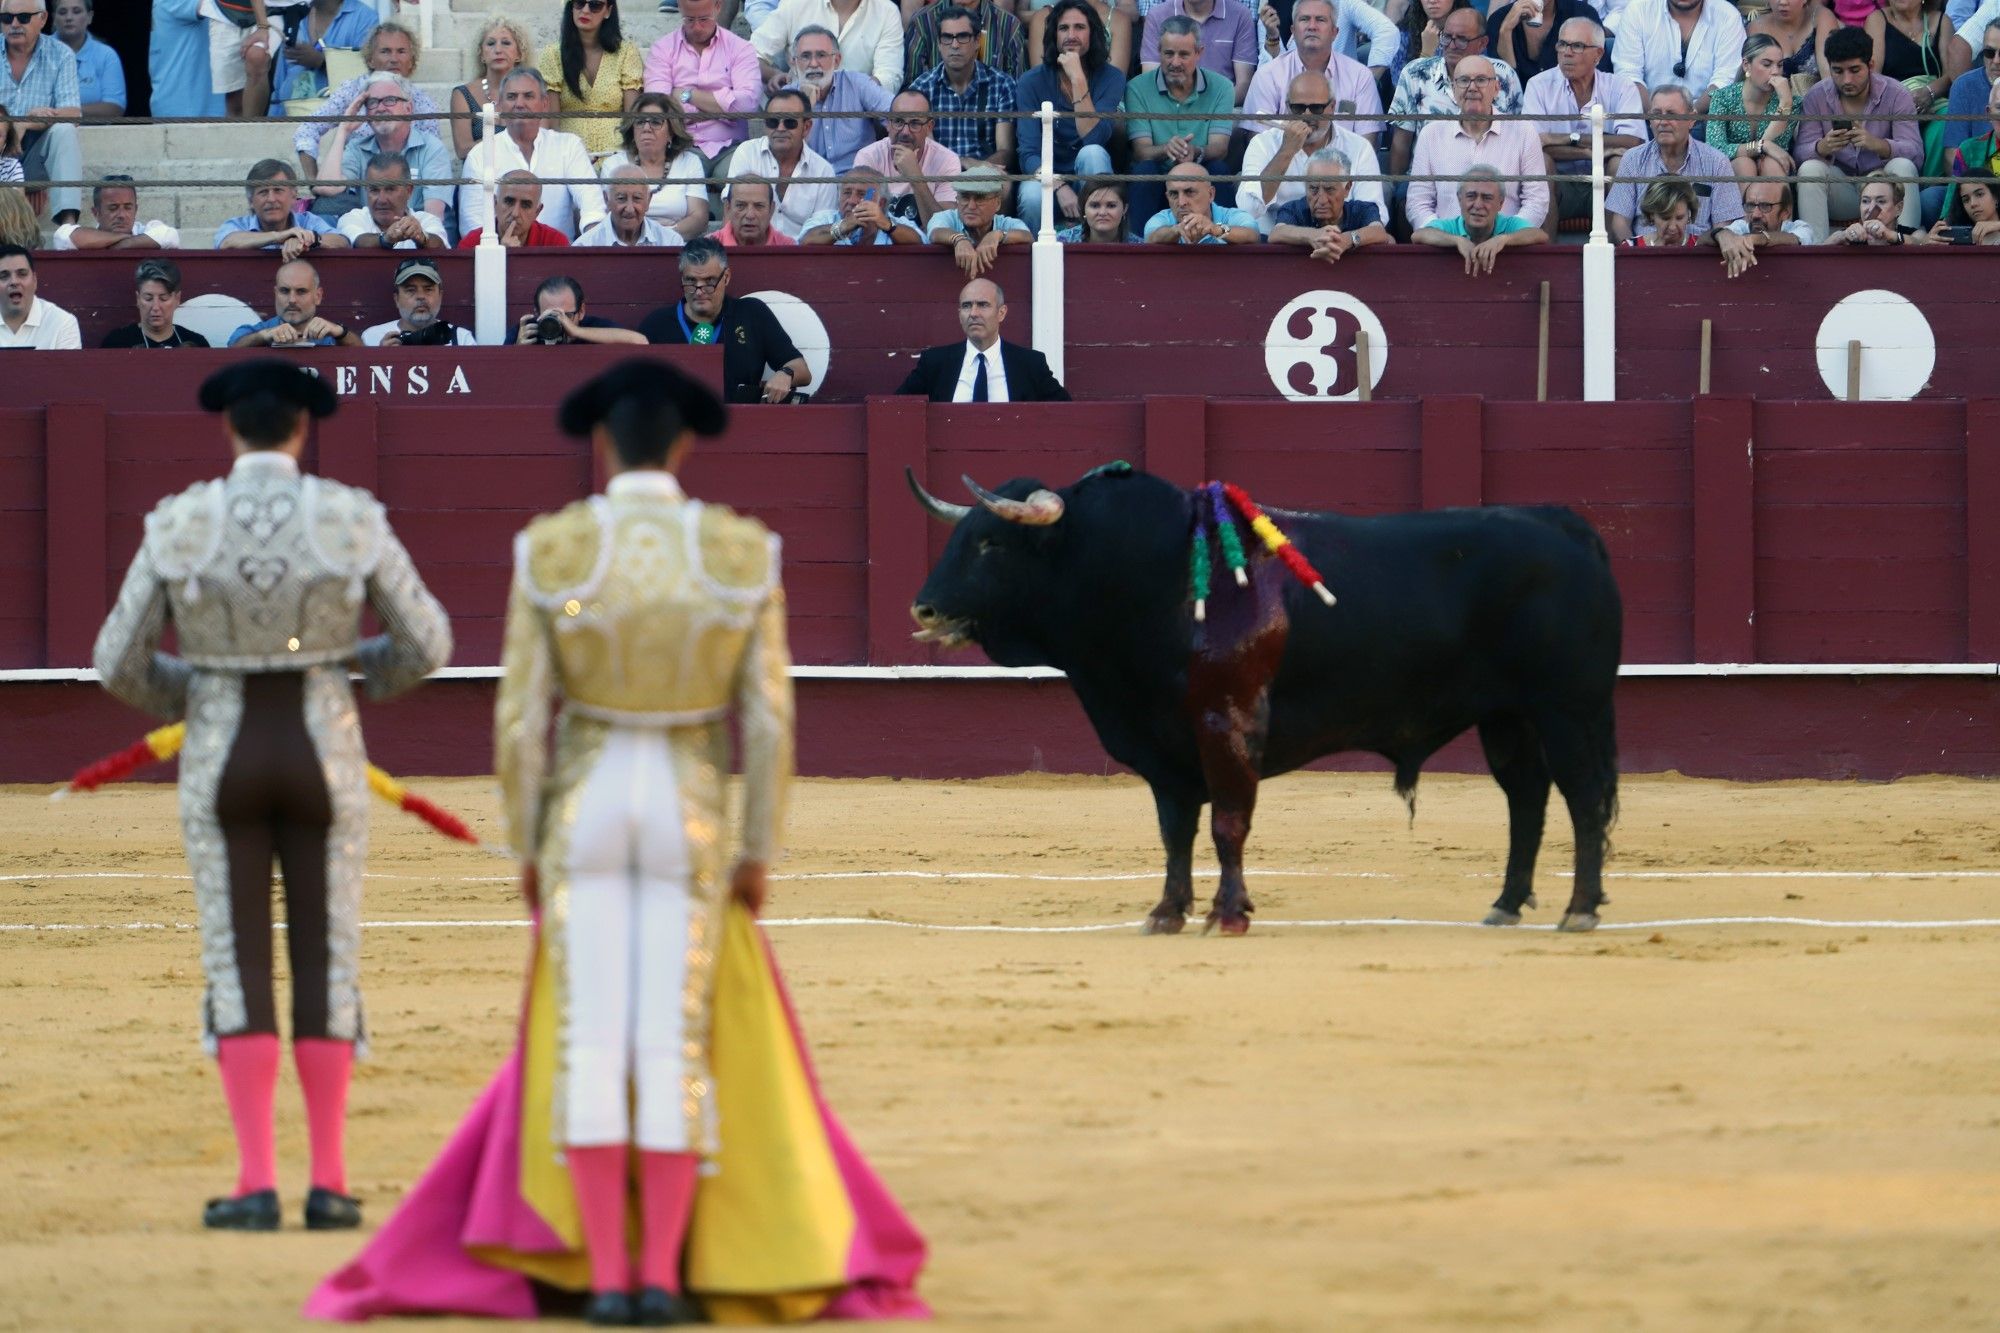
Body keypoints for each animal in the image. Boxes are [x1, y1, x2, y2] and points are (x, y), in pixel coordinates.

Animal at [908, 466, 1624, 932]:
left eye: (990, 542)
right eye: (960, 537)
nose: (925, 609)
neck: (1152, 575)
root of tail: (1563, 523)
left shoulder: (1226, 721)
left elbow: (1228, 821)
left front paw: (1228, 914)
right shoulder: (1163, 745)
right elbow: (1175, 830)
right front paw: (1167, 913)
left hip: (1568, 709)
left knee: (1583, 797)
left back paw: (1580, 910)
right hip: (1506, 715)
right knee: (1526, 797)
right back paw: (1506, 905)